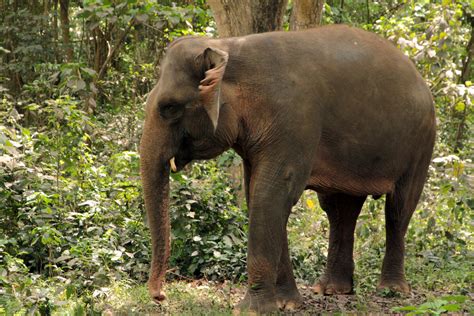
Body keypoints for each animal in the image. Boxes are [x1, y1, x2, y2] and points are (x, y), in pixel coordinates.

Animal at [139, 24, 436, 314]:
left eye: (169, 107)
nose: (160, 296)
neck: (230, 47)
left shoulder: (294, 121)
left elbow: (272, 193)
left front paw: (251, 310)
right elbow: (258, 195)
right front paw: (286, 303)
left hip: (421, 140)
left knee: (398, 208)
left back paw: (392, 291)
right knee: (339, 210)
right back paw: (332, 290)